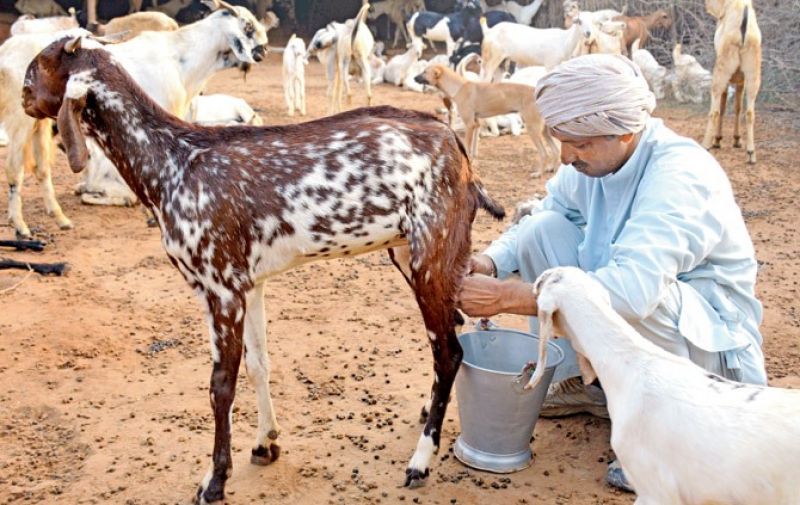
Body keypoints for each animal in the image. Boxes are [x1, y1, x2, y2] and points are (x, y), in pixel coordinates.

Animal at [1, 0, 268, 237]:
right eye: (247, 26)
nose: (263, 51)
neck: (180, 57)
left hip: (39, 122)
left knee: (42, 168)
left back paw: (60, 219)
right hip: (19, 120)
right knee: (14, 169)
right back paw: (21, 227)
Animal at [23, 34, 505, 504]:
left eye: (35, 69)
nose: (24, 98)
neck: (172, 164)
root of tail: (456, 146)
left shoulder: (219, 288)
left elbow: (220, 384)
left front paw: (215, 479)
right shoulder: (248, 285)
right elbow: (258, 364)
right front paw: (265, 442)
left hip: (431, 255)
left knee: (449, 351)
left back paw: (421, 460)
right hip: (414, 255)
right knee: (450, 331)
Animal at [701, 0, 761, 164]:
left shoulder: (727, 78)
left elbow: (722, 106)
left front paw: (718, 140)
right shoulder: (741, 80)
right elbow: (737, 107)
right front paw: (736, 140)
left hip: (722, 70)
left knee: (715, 110)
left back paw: (706, 145)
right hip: (753, 74)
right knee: (750, 112)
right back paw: (751, 153)